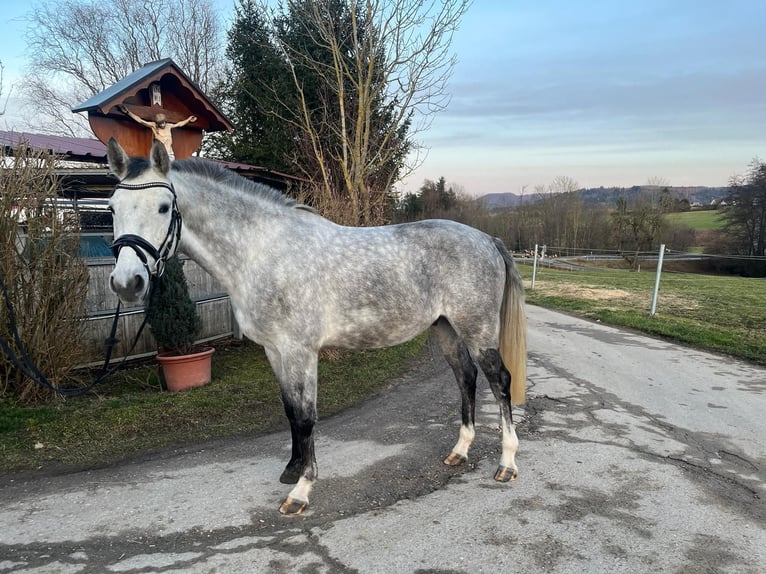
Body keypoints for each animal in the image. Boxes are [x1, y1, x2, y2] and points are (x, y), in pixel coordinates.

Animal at [106, 138, 527, 515]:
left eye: (163, 208)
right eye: (111, 208)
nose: (127, 283)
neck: (262, 251)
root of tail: (487, 238)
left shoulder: (299, 350)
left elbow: (307, 415)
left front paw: (302, 491)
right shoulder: (275, 350)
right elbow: (291, 411)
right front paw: (292, 471)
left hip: (477, 329)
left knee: (499, 381)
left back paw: (507, 463)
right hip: (446, 328)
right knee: (466, 377)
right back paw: (459, 451)